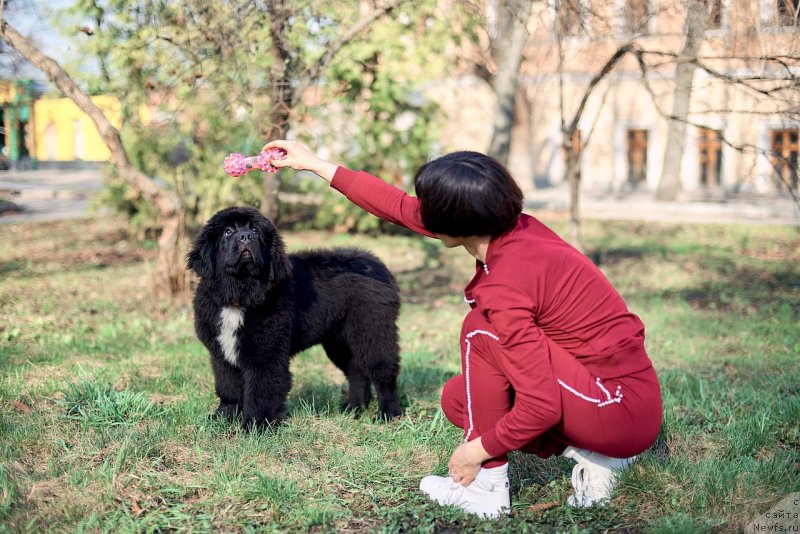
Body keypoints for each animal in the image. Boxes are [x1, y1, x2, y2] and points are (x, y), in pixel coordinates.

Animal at [186, 207, 400, 430]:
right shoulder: (221, 354)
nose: (245, 236)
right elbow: (228, 389)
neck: (240, 295)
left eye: (255, 230)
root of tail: (377, 263)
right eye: (227, 231)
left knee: (384, 375)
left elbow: (261, 392)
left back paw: (388, 413)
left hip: (373, 333)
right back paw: (354, 408)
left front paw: (256, 425)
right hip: (339, 341)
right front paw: (223, 418)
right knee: (356, 371)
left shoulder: (267, 356)